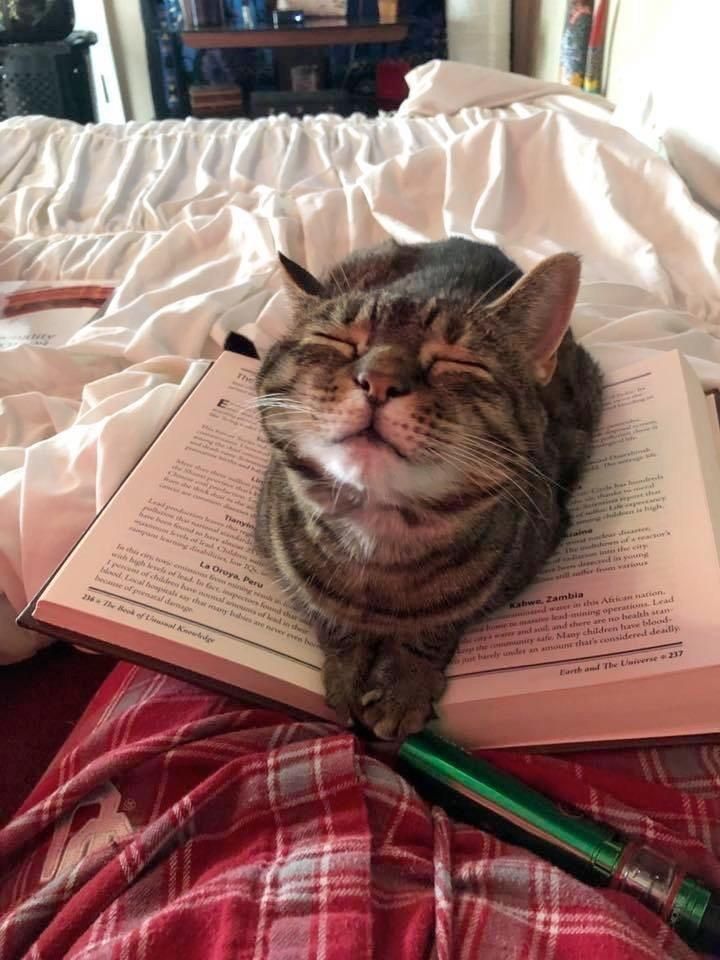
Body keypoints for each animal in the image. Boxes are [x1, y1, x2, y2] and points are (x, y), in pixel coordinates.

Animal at [253, 236, 600, 740]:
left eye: (456, 362)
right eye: (337, 342)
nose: (377, 380)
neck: (378, 540)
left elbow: (438, 627)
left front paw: (405, 685)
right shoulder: (278, 554)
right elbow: (329, 617)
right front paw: (347, 673)